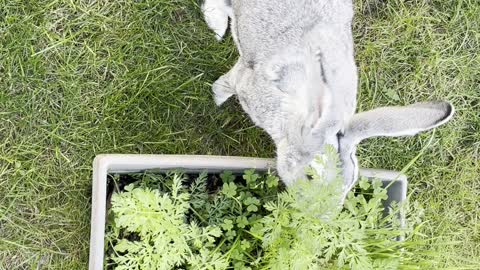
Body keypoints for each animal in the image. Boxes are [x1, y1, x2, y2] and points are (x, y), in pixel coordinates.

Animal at [202, 0, 454, 198]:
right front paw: (216, 99)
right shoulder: (246, 79)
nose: (319, 219)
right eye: (310, 176)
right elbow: (227, 84)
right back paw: (217, 26)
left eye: (350, 184)